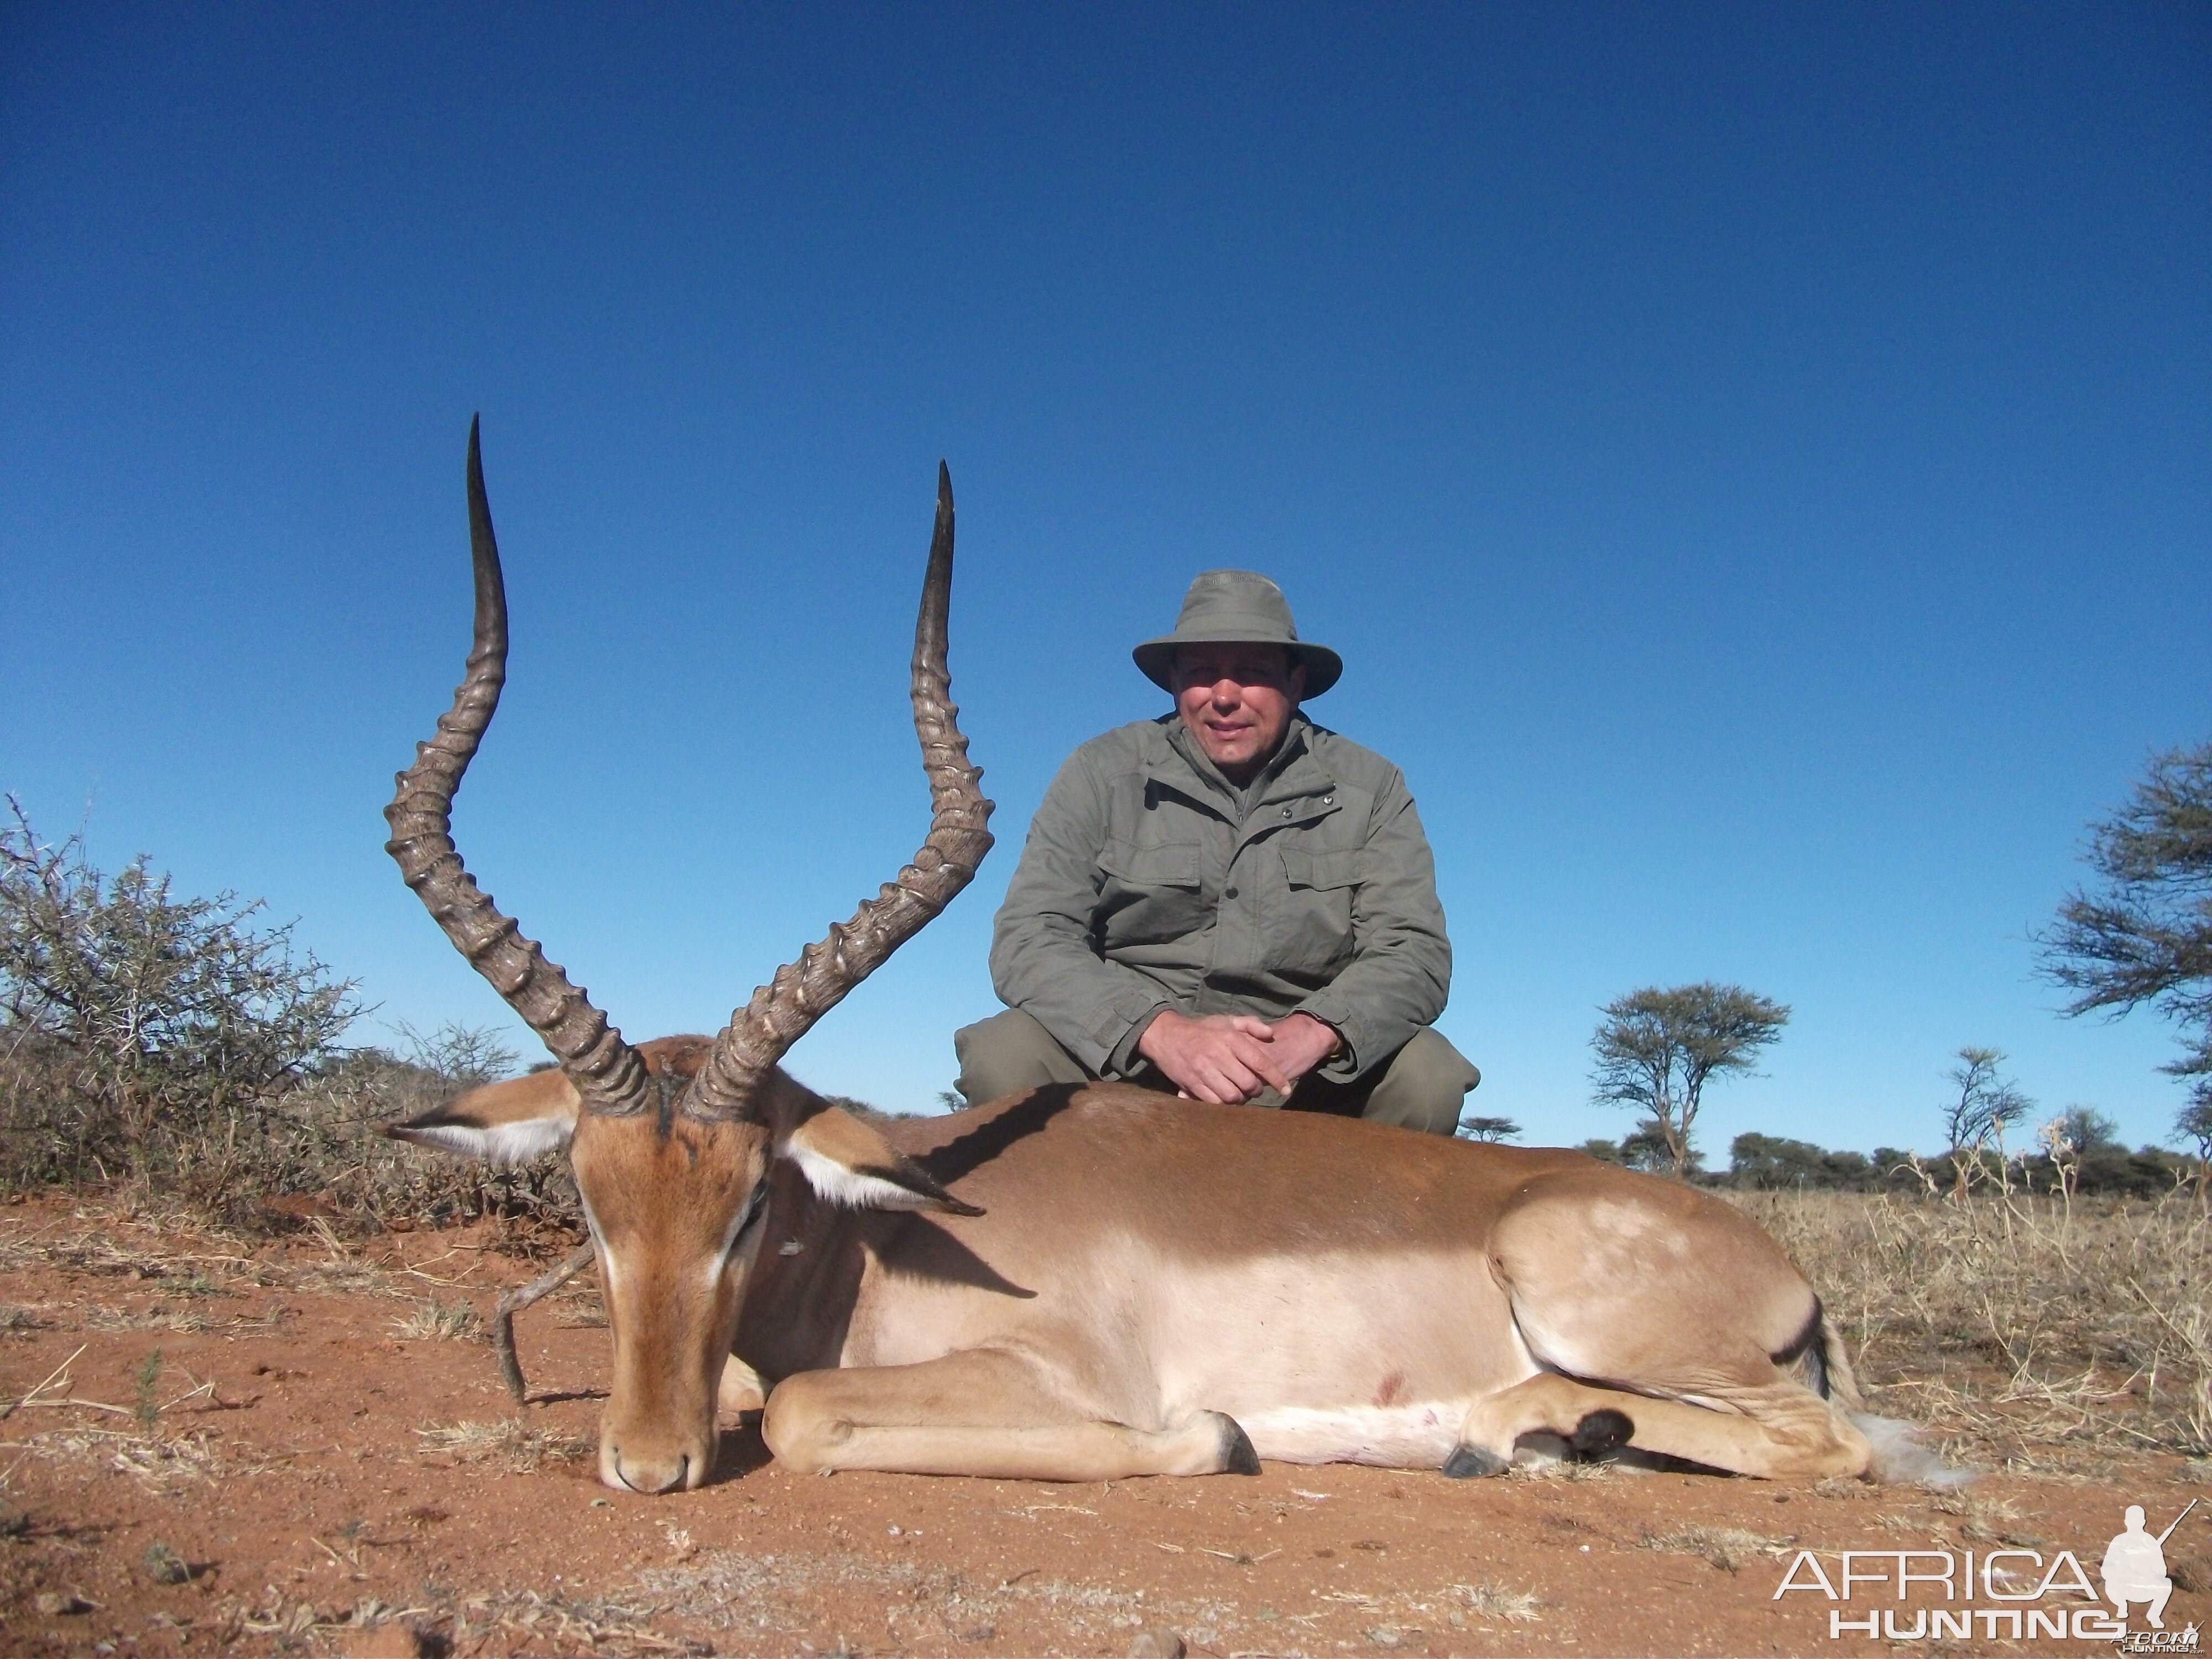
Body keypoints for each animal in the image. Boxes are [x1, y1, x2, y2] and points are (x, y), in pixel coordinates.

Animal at [389, 429, 1876, 1495]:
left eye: (754, 1201)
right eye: (590, 1203)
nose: (646, 1463)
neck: (881, 1244)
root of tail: (1772, 1259)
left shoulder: (1048, 1374)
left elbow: (806, 1408)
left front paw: (1213, 1436)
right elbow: (769, 1388)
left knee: (1831, 1447)